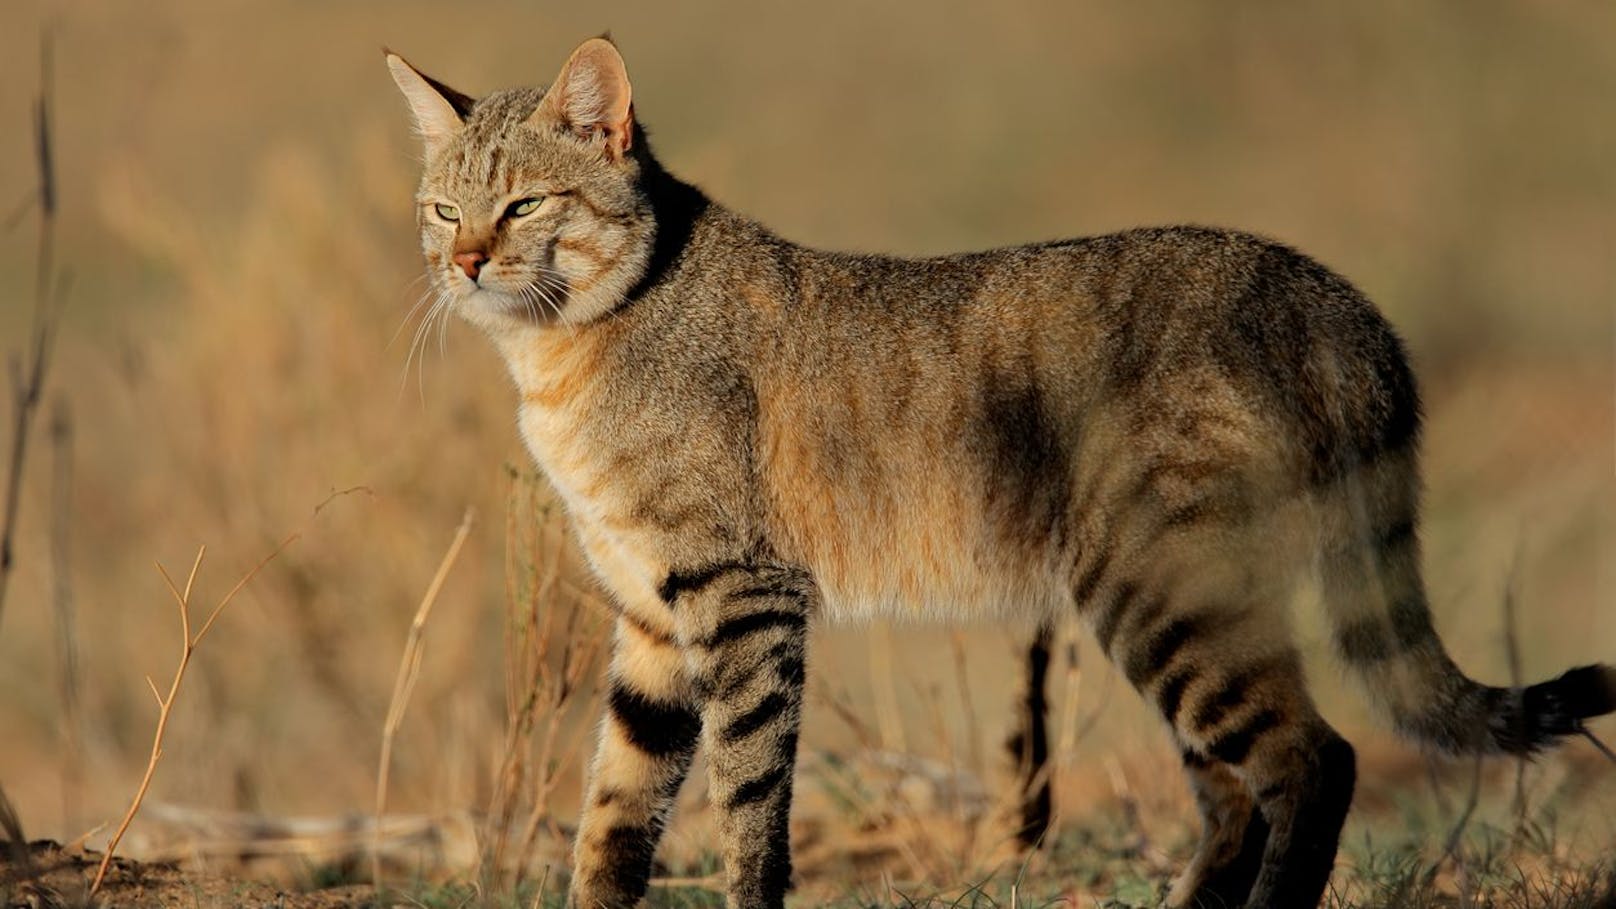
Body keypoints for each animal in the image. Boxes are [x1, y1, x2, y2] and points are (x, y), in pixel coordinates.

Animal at [384, 37, 1609, 905]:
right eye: (443, 207)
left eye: (526, 202)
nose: (466, 260)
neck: (562, 357)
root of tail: (1335, 299)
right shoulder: (649, 616)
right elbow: (614, 814)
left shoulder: (743, 594)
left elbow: (747, 800)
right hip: (1177, 607)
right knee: (1232, 790)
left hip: (1165, 593)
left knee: (1314, 760)